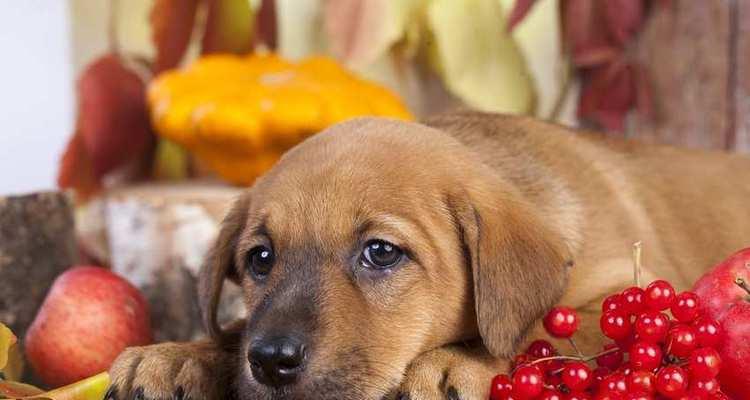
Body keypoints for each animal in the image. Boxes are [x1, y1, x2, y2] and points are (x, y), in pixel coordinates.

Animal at [106, 110, 750, 400]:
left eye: (381, 253)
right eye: (260, 259)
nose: (270, 361)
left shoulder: (634, 294)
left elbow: (540, 327)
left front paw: (454, 363)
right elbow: (236, 327)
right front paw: (181, 355)